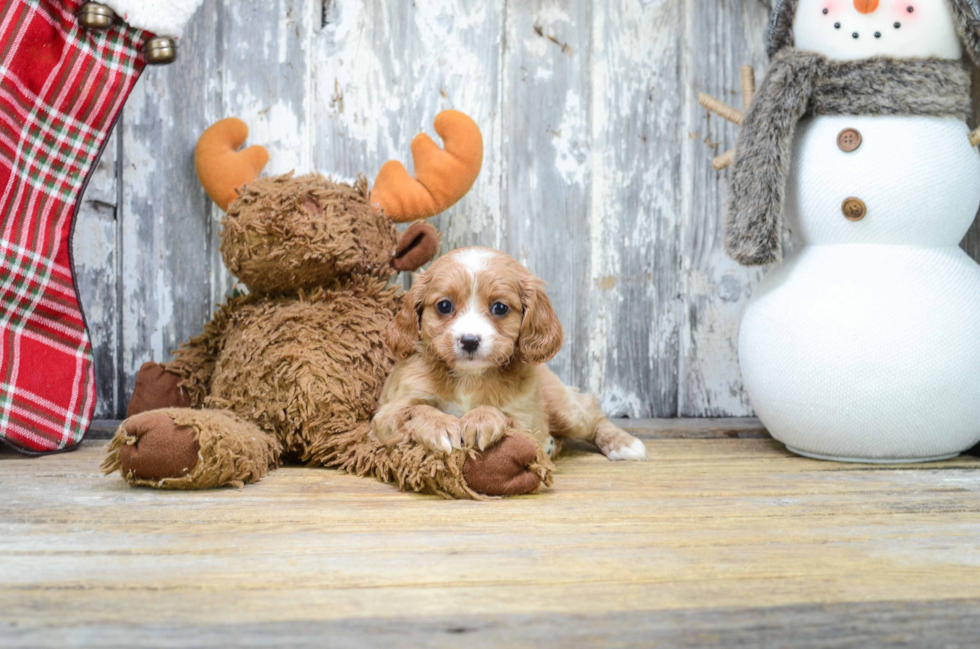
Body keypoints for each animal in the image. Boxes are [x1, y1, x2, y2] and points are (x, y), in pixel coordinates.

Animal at [372, 246, 648, 464]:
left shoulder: (526, 418)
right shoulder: (387, 413)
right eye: (444, 305)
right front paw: (439, 425)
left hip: (564, 410)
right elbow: (416, 409)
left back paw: (623, 443)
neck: (468, 378)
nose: (469, 340)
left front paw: (481, 419)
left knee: (591, 414)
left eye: (500, 308)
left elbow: (503, 415)